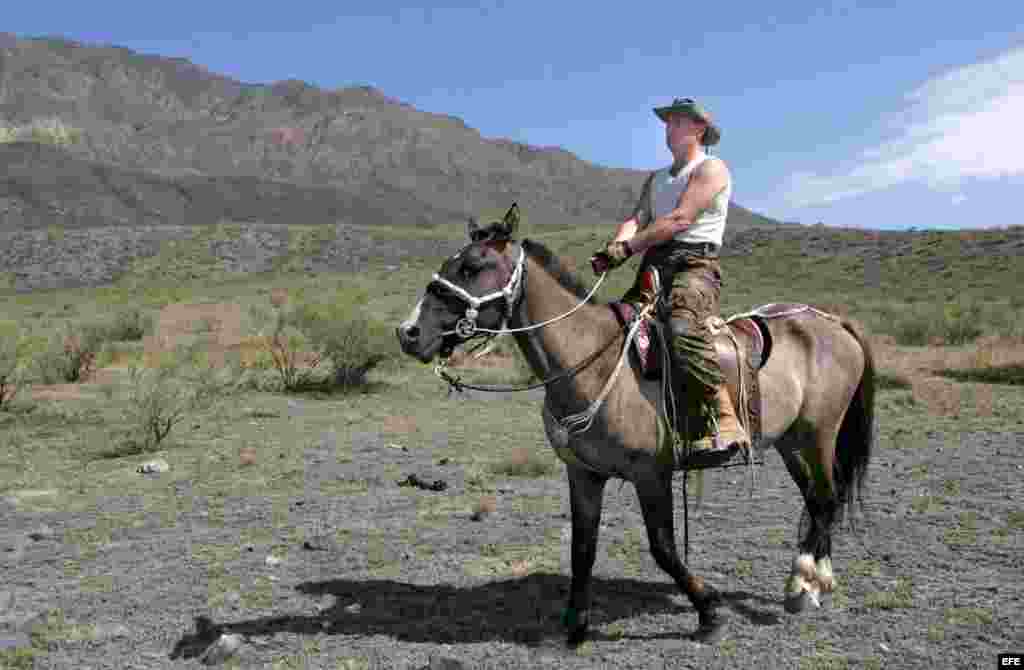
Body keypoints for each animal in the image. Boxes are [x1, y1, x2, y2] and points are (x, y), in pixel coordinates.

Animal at [391, 203, 872, 647]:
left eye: (473, 266)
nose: (408, 332)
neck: (594, 360)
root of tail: (831, 322)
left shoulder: (650, 474)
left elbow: (663, 547)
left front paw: (708, 611)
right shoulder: (584, 474)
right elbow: (582, 547)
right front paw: (576, 626)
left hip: (819, 434)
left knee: (825, 497)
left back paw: (803, 585)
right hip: (791, 441)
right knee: (818, 500)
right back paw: (814, 582)